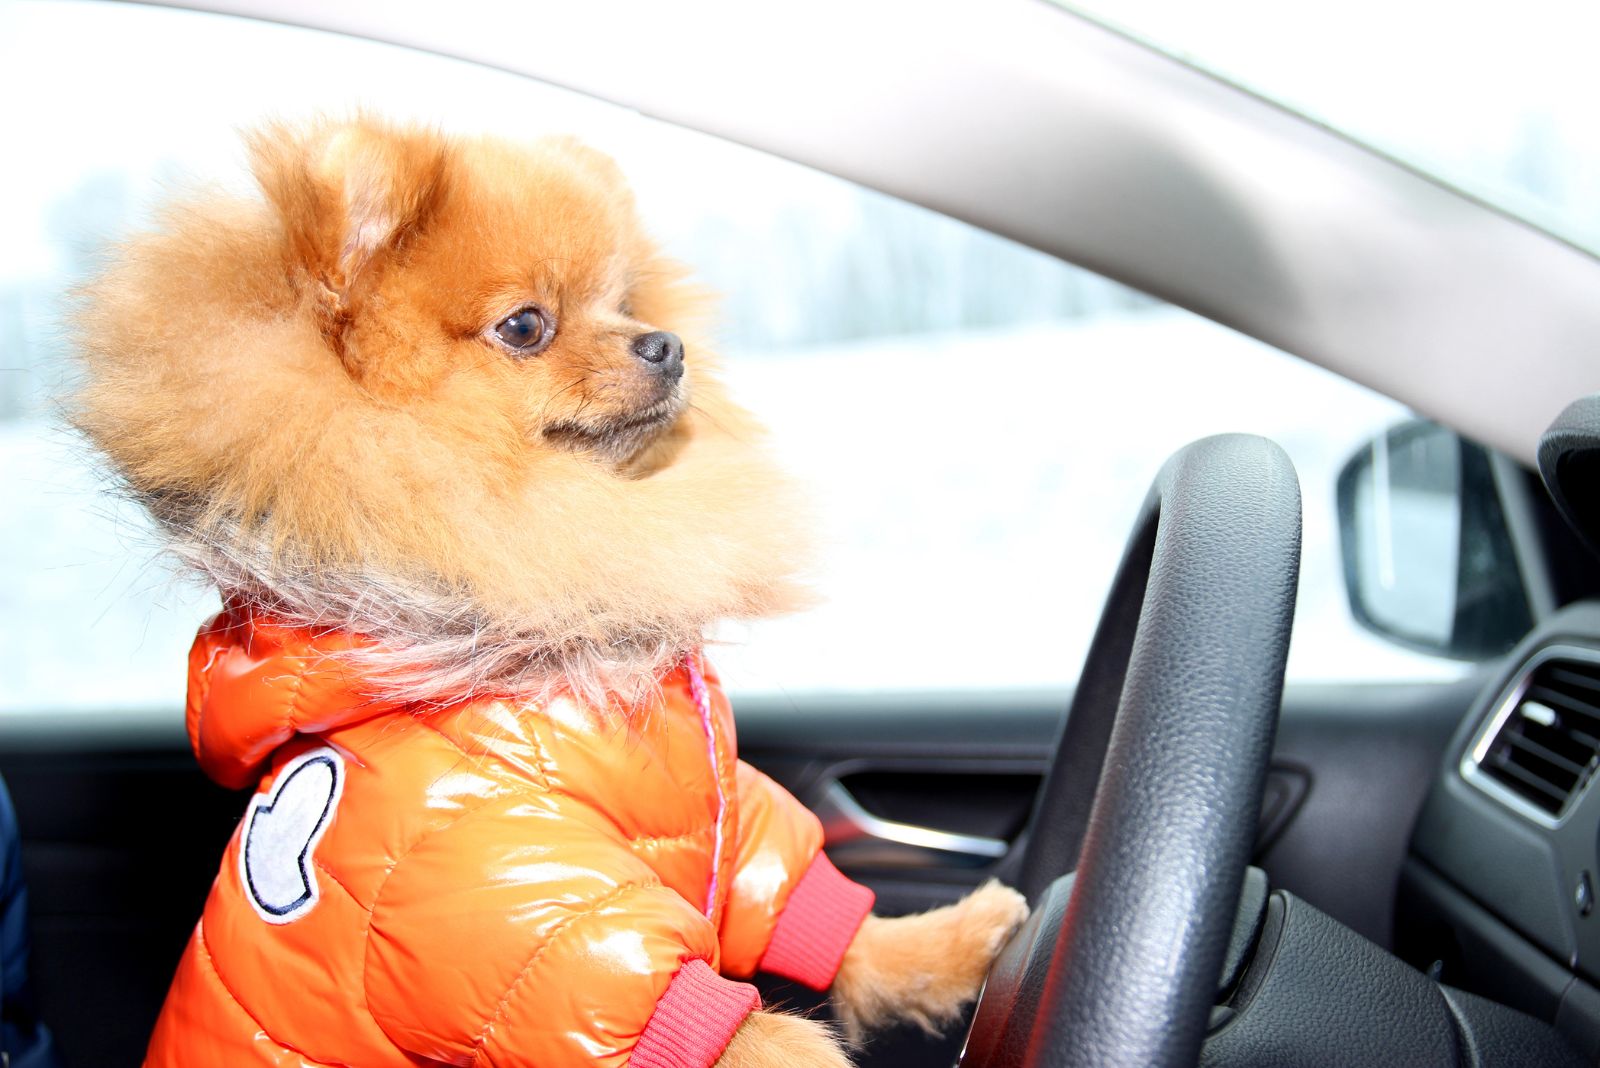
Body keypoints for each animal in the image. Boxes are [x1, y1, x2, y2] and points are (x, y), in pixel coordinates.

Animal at [72, 119, 1024, 1068]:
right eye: (525, 325)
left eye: (626, 302)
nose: (665, 344)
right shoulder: (502, 893)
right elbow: (721, 1022)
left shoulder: (722, 801)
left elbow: (796, 891)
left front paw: (953, 939)